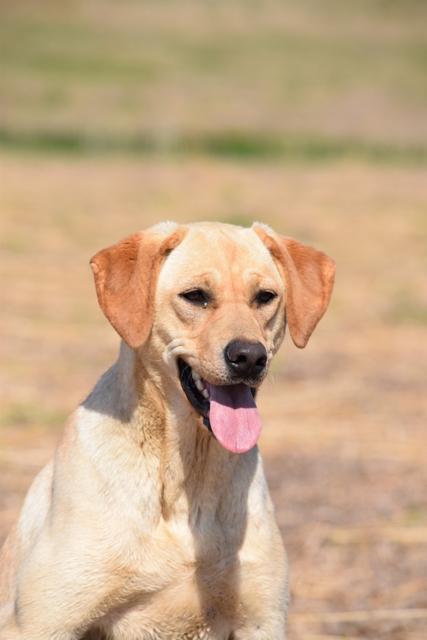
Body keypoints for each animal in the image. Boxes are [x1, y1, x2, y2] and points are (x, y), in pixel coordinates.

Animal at [0, 221, 334, 640]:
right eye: (195, 296)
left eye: (265, 297)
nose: (249, 357)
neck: (184, 481)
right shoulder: (44, 622)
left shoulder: (261, 621)